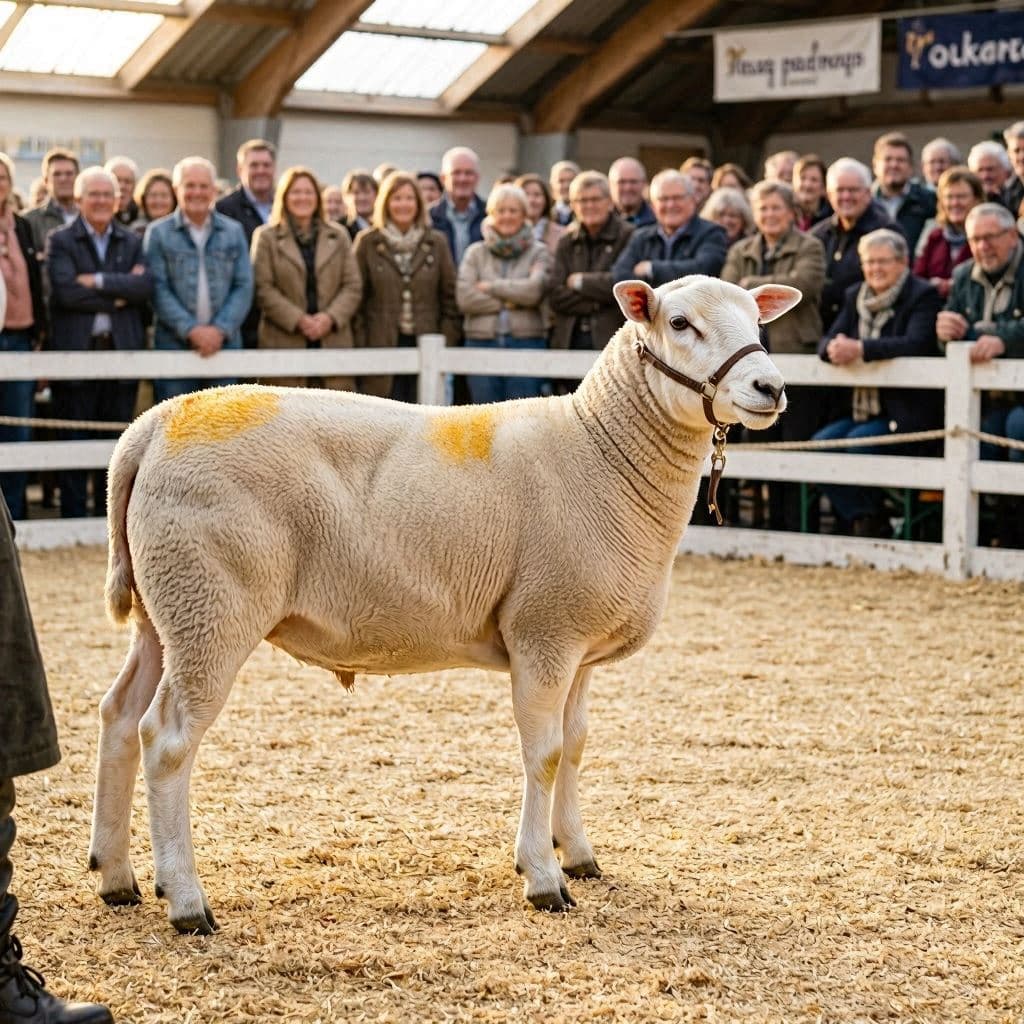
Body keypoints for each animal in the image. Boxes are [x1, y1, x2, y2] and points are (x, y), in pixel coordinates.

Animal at [89, 274, 799, 934]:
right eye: (680, 322)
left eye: (758, 318)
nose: (770, 388)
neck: (602, 451)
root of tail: (152, 427)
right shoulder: (544, 630)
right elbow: (543, 754)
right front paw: (543, 878)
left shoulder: (580, 647)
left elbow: (575, 745)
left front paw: (577, 853)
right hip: (213, 605)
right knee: (167, 740)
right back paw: (186, 900)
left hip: (166, 610)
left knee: (119, 717)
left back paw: (116, 876)